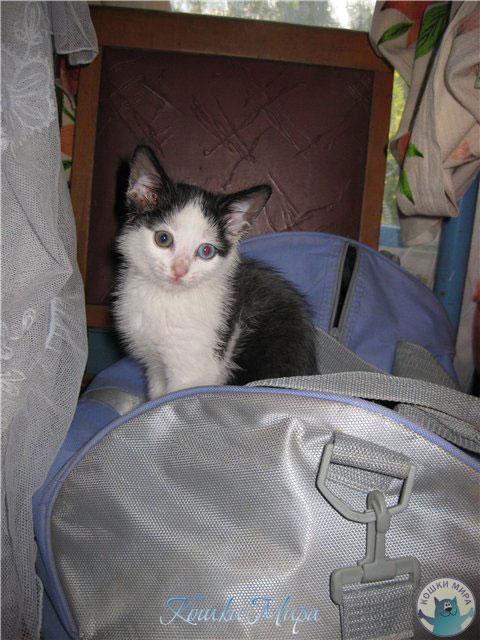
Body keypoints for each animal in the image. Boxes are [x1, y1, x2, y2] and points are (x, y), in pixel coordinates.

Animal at [113, 146, 317, 399]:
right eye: (163, 238)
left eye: (206, 251)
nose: (179, 270)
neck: (166, 298)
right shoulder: (154, 365)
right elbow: (156, 396)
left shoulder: (194, 372)